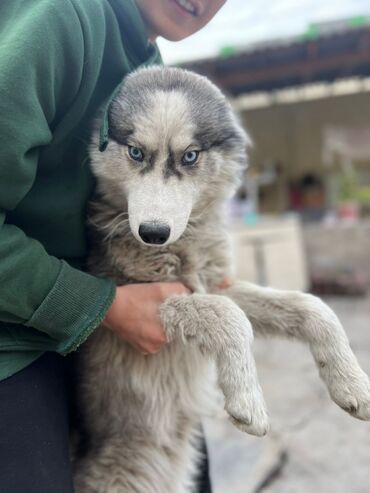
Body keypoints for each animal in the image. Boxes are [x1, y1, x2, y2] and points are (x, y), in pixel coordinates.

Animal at [72, 66, 370, 492]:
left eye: (190, 155)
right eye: (136, 152)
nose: (153, 232)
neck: (184, 247)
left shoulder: (216, 285)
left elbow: (311, 306)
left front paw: (351, 383)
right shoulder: (151, 299)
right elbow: (229, 318)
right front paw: (247, 400)